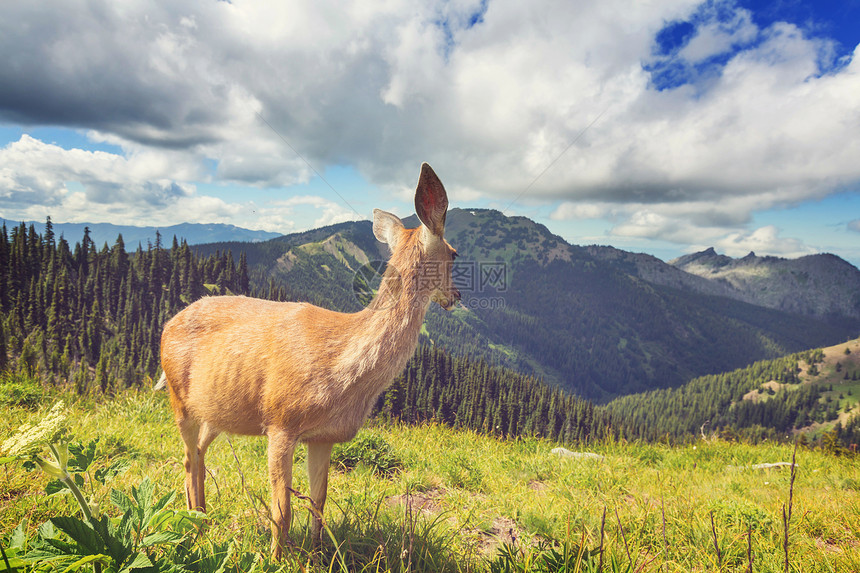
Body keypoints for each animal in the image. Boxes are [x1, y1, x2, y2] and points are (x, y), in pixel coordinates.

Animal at [157, 162, 460, 560]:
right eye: (455, 253)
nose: (456, 296)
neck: (341, 371)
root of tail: (167, 324)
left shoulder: (324, 437)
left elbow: (319, 503)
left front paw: (318, 555)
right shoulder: (280, 421)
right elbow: (282, 509)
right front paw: (275, 559)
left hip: (215, 410)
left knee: (197, 456)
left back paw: (202, 518)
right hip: (179, 399)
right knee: (189, 457)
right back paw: (195, 528)